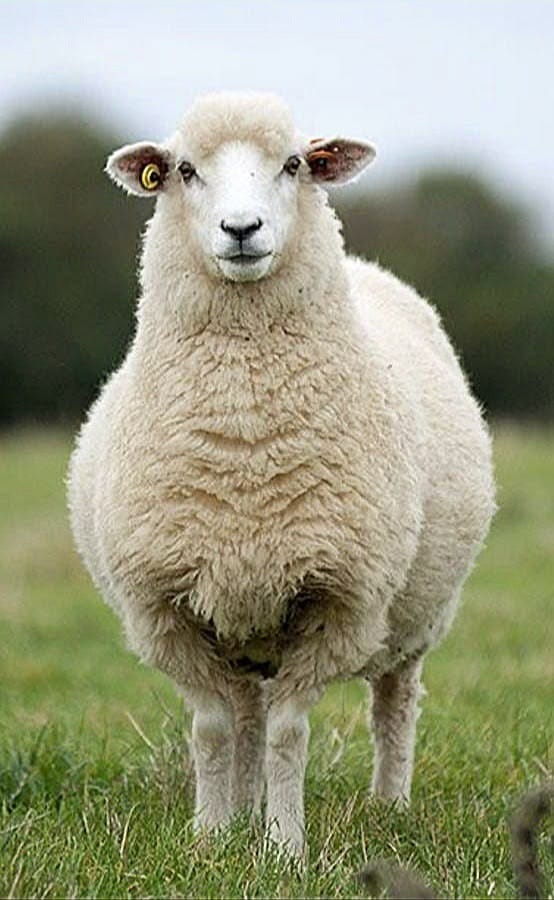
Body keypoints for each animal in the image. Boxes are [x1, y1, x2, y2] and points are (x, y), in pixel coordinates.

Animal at [67, 91, 495, 858]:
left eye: (294, 164)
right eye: (184, 170)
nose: (242, 230)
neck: (247, 443)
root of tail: (368, 267)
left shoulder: (340, 601)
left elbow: (291, 734)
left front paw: (285, 848)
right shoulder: (165, 607)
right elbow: (213, 730)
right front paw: (211, 841)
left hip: (412, 618)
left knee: (394, 704)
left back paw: (389, 804)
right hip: (242, 616)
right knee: (246, 715)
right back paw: (240, 809)